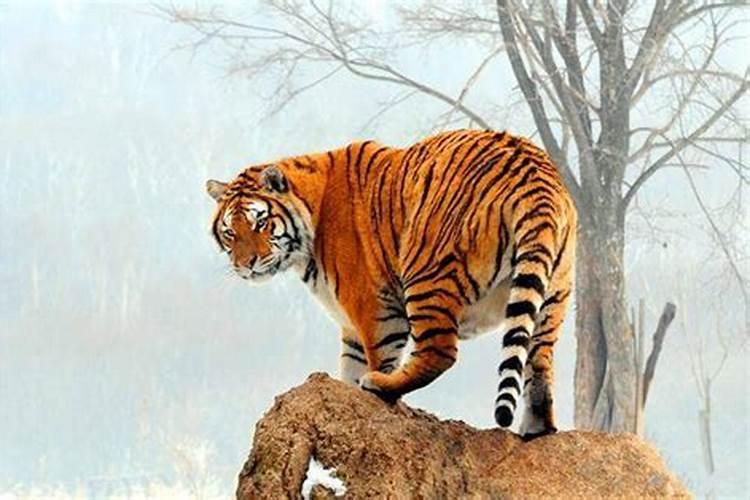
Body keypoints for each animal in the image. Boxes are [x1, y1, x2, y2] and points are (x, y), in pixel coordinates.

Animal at [206, 129, 576, 439]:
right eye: (230, 232)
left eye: (261, 222)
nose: (246, 264)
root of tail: (536, 175)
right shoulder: (352, 327)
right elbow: (349, 366)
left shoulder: (374, 308)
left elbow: (375, 357)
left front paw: (370, 391)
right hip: (553, 295)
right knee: (539, 359)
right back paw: (537, 429)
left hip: (425, 273)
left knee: (440, 350)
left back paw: (381, 385)